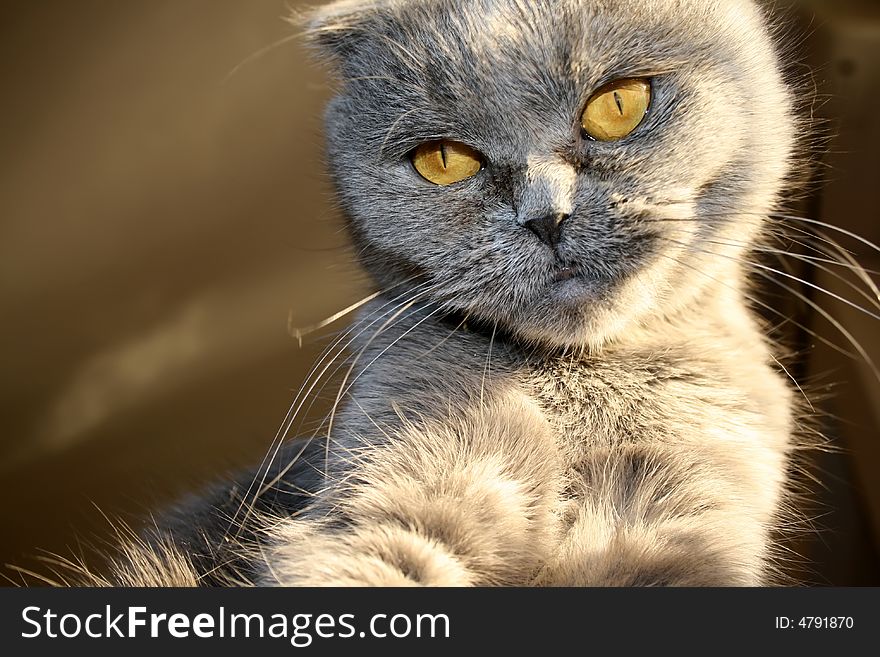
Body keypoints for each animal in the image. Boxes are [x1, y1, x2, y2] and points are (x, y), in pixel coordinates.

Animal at [86, 0, 808, 584]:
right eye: (443, 160)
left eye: (618, 103)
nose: (546, 217)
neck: (576, 393)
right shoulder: (402, 483)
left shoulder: (685, 514)